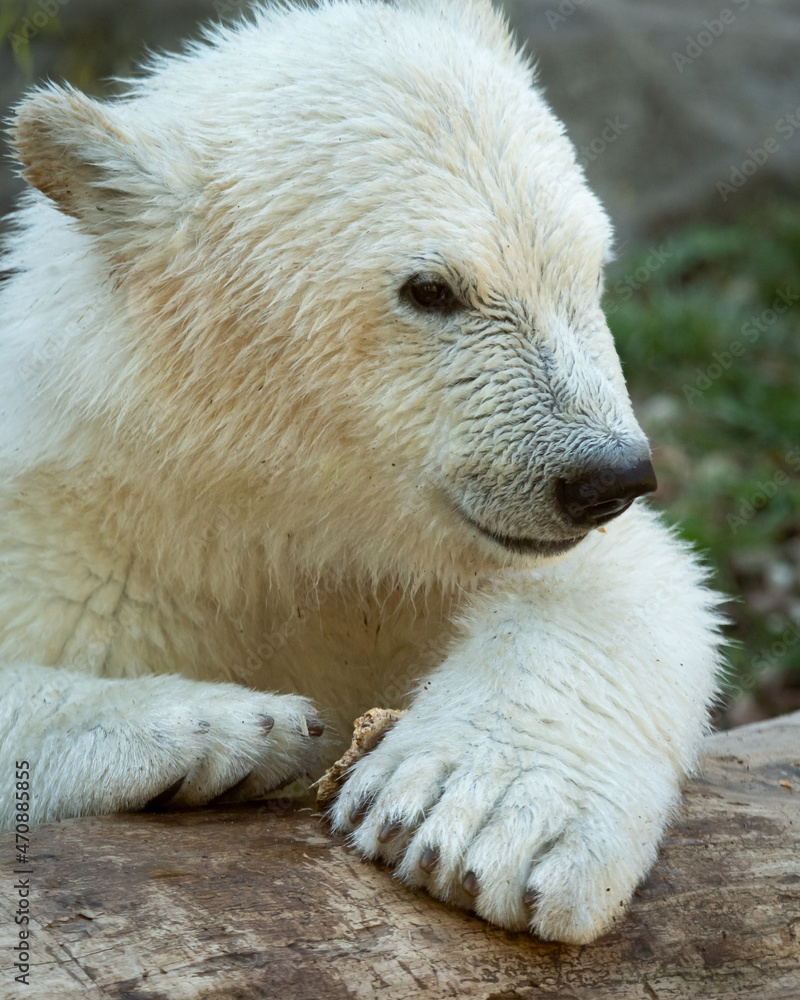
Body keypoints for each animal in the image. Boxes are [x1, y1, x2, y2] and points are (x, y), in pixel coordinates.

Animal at [0, 0, 723, 944]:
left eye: (587, 265)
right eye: (431, 289)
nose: (606, 475)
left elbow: (633, 588)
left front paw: (477, 815)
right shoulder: (66, 535)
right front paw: (233, 727)